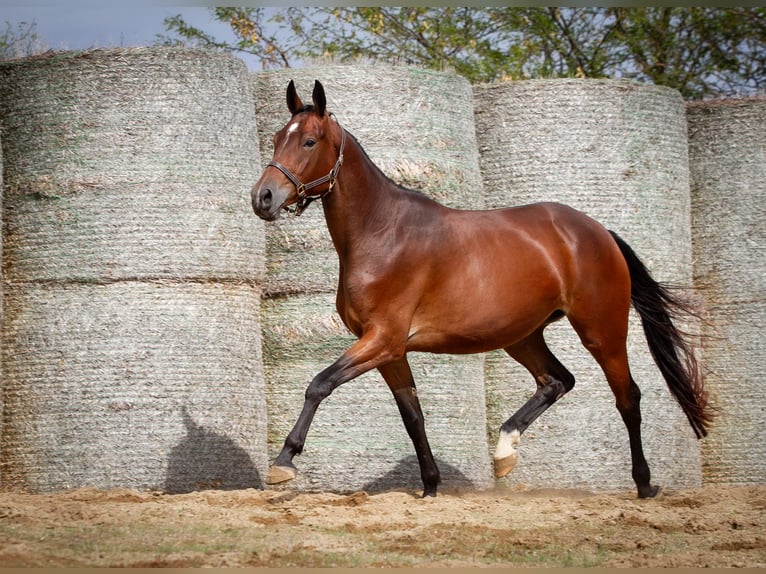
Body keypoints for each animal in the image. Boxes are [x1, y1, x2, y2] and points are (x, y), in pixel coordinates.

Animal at [252, 80, 712, 500]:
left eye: (309, 141)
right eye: (276, 138)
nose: (263, 198)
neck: (381, 232)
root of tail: (599, 232)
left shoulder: (382, 339)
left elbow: (319, 384)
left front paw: (284, 462)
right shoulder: (390, 351)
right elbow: (412, 416)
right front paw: (430, 487)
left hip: (602, 330)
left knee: (627, 397)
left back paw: (645, 484)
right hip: (522, 335)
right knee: (557, 380)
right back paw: (505, 451)